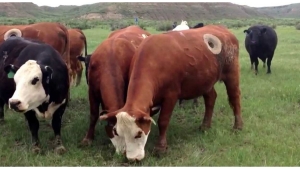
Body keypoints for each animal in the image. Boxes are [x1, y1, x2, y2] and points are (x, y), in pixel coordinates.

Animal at [99, 24, 244, 161]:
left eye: (139, 134)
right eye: (118, 133)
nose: (132, 158)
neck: (154, 61)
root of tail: (222, 29)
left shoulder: (171, 96)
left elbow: (163, 121)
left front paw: (161, 148)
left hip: (232, 73)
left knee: (234, 97)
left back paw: (238, 126)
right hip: (205, 81)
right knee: (211, 98)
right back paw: (205, 126)